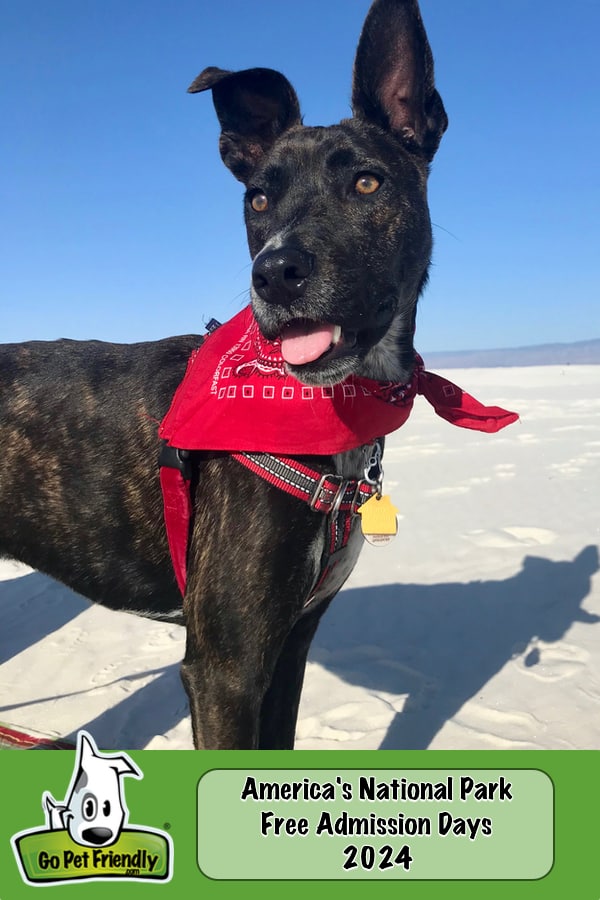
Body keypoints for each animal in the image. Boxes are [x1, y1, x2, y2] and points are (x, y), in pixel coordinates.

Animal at [0, 0, 446, 744]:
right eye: (257, 200)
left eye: (366, 182)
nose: (275, 273)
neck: (321, 408)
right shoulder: (223, 672)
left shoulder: (291, 644)